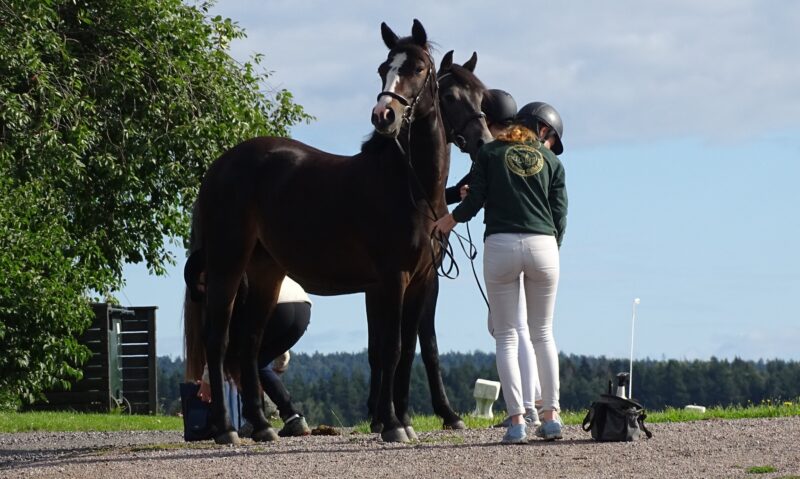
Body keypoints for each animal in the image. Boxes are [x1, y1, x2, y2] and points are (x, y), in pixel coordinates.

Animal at [195, 19, 488, 446]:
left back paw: (263, 426)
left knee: (248, 343)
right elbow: (392, 348)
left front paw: (404, 420)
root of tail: (220, 166)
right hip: (227, 263)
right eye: (384, 68)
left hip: (265, 271)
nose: (384, 115)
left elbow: (411, 349)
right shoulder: (392, 278)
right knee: (218, 341)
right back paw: (226, 429)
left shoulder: (420, 280)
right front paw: (392, 424)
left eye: (480, 93)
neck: (410, 188)